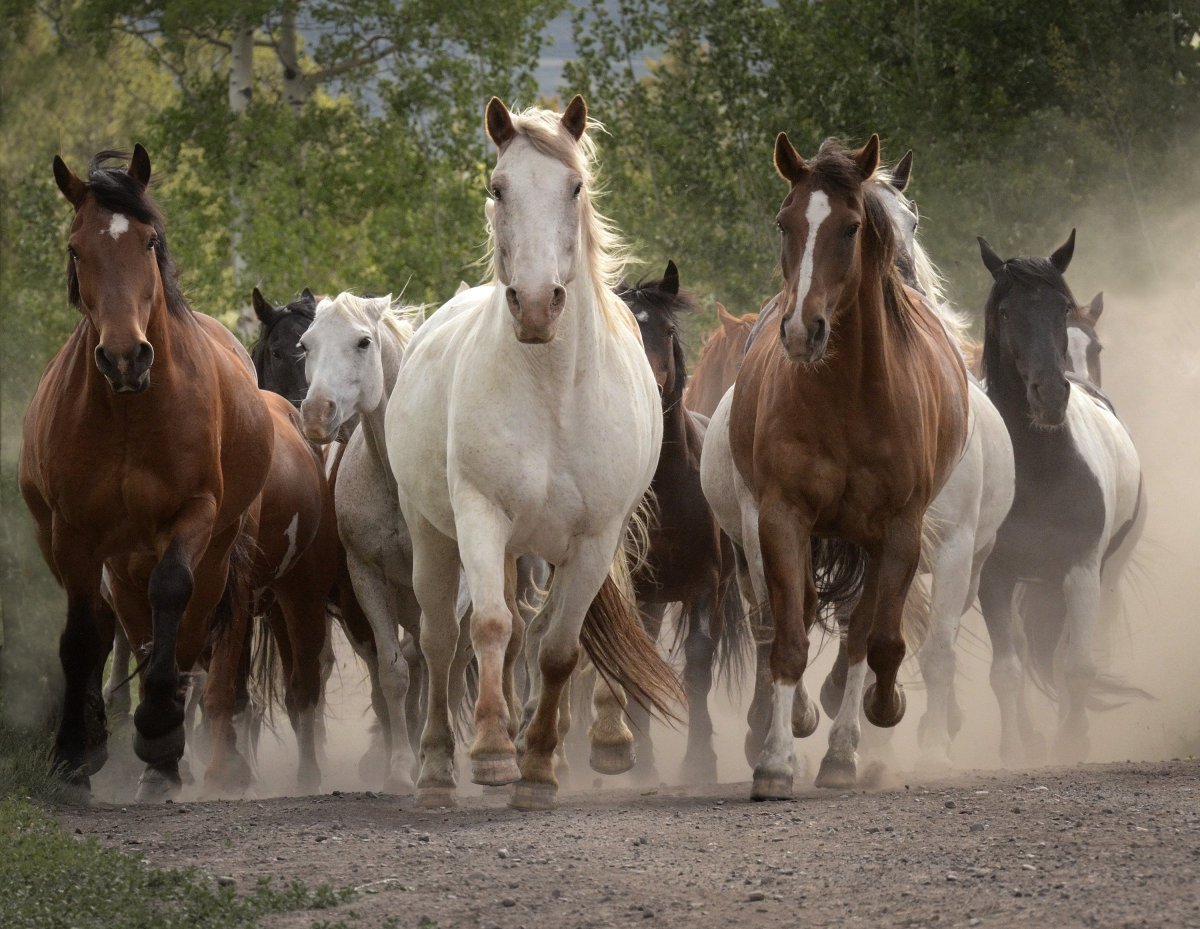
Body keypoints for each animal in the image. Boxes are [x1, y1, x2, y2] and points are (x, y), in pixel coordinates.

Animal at [21, 147, 274, 798]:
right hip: (108, 555)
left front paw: (159, 735)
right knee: (117, 626)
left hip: (213, 551)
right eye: (75, 249)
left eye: (149, 241)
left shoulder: (194, 515)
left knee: (183, 629)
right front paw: (71, 756)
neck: (132, 410)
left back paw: (171, 751)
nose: (123, 357)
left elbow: (173, 598)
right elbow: (81, 633)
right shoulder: (73, 533)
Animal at [386, 95, 682, 811]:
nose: (539, 305)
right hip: (436, 534)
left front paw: (539, 765)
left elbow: (557, 649)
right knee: (441, 641)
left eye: (574, 187)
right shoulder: (481, 515)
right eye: (499, 188)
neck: (552, 396)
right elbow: (489, 628)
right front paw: (493, 753)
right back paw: (438, 768)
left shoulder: (595, 538)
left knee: (533, 632)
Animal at [618, 260, 749, 784]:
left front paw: (700, 760)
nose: (652, 393)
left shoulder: (704, 584)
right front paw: (644, 763)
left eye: (668, 330)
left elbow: (697, 661)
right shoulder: (640, 589)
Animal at [726, 134, 968, 800]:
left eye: (851, 227)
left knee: (863, 634)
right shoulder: (782, 517)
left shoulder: (900, 529)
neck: (847, 399)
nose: (801, 331)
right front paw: (775, 762)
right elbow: (788, 637)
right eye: (784, 223)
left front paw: (877, 713)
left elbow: (878, 640)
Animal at [977, 232, 1144, 762]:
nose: (1050, 394)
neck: (1040, 468)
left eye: (1061, 307)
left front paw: (1073, 740)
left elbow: (1078, 666)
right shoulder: (994, 578)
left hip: (1104, 576)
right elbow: (1007, 671)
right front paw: (1015, 748)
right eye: (1005, 310)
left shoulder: (1081, 571)